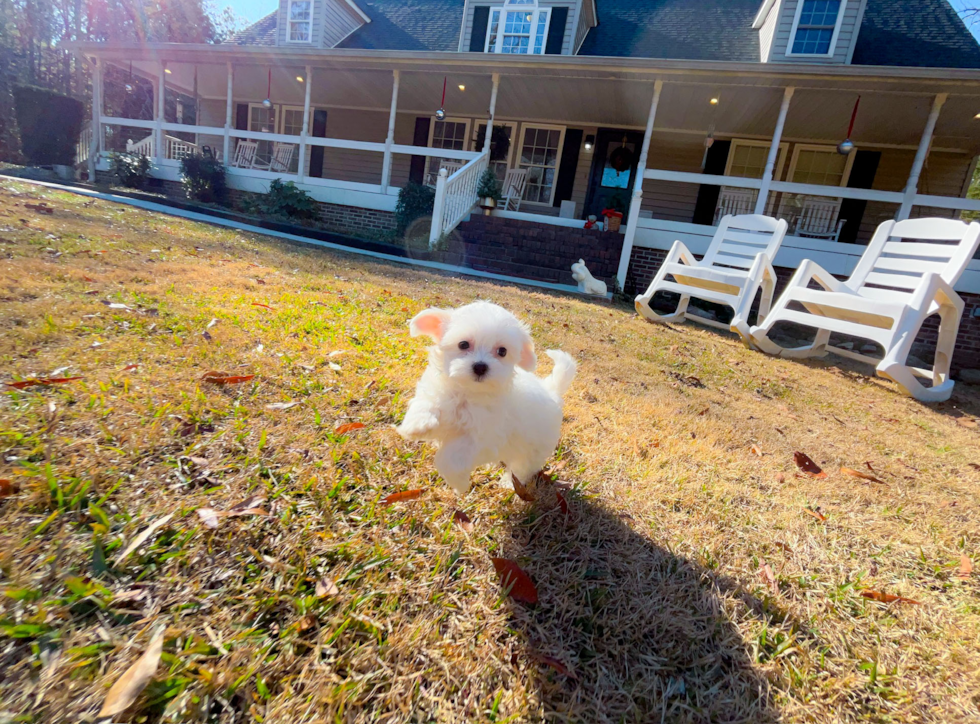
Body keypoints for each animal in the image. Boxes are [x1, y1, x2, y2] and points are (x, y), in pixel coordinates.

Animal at [396, 302, 576, 498]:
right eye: (463, 344)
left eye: (502, 351)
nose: (480, 366)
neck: (468, 391)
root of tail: (552, 390)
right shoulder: (437, 392)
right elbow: (426, 402)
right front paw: (417, 425)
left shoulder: (483, 439)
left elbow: (451, 458)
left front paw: (458, 484)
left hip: (534, 450)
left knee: (522, 468)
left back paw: (508, 483)